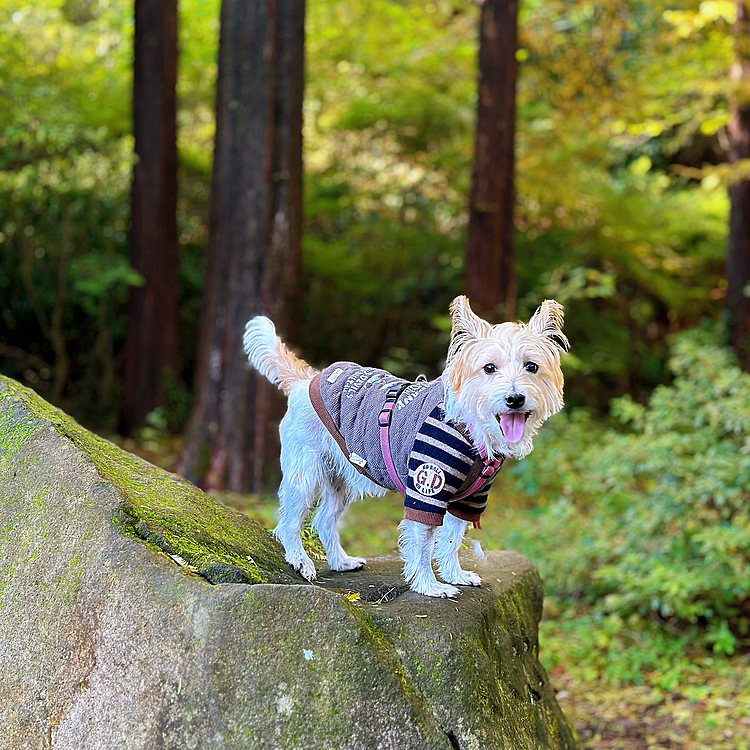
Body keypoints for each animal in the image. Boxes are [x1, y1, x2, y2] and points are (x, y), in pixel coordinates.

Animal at [244, 298, 568, 600]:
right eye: (489, 368)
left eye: (531, 366)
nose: (515, 398)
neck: (470, 428)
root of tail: (307, 379)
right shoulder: (427, 489)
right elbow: (423, 545)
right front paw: (429, 585)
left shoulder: (470, 499)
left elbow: (452, 538)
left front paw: (455, 574)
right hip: (305, 473)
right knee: (289, 521)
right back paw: (300, 559)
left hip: (341, 482)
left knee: (324, 520)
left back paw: (341, 561)